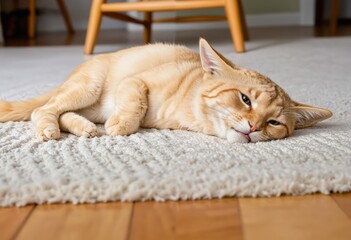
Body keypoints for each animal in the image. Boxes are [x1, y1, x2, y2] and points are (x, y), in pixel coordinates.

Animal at [0, 38, 332, 142]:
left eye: (273, 122)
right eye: (244, 99)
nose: (253, 127)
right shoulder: (134, 81)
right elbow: (135, 101)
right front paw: (124, 123)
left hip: (86, 102)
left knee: (63, 112)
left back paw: (83, 127)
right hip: (89, 87)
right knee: (44, 110)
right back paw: (51, 128)